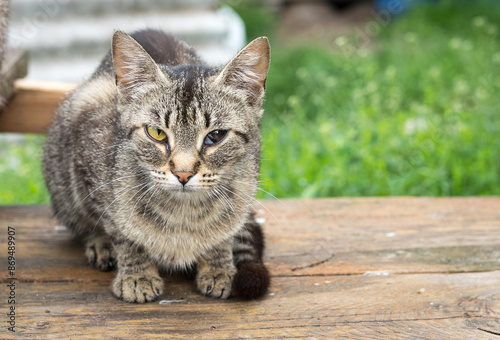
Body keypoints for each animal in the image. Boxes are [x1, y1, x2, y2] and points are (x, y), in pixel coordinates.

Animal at [42, 30, 270, 302]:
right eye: (157, 133)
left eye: (215, 136)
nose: (183, 173)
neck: (184, 213)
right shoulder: (91, 165)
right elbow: (121, 232)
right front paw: (137, 275)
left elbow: (226, 234)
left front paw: (219, 266)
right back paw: (100, 245)